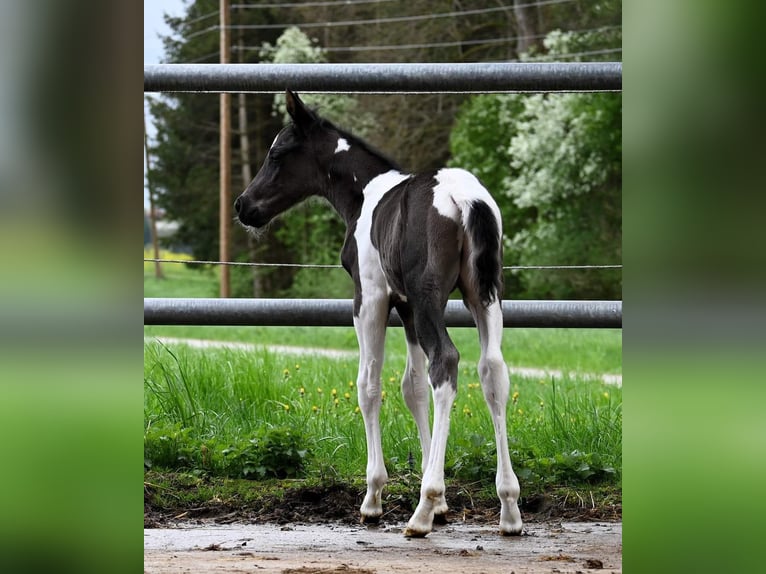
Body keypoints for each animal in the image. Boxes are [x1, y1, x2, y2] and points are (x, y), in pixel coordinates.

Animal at [234, 91, 520, 540]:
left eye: (276, 154)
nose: (243, 205)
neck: (365, 195)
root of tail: (463, 197)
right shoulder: (405, 307)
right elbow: (412, 387)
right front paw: (442, 504)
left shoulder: (370, 298)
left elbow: (368, 385)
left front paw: (376, 498)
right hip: (482, 296)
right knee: (492, 370)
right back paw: (509, 507)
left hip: (429, 296)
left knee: (447, 362)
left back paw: (420, 513)